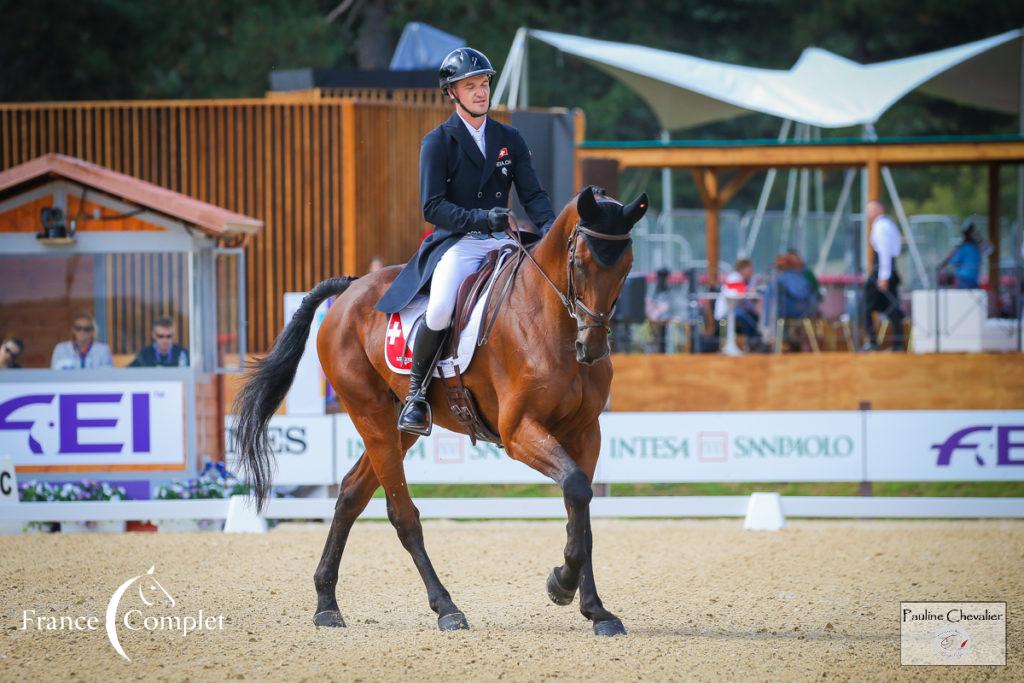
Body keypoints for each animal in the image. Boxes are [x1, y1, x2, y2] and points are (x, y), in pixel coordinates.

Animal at [234, 185, 647, 634]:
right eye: (580, 262)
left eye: (626, 267)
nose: (592, 348)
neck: (549, 320)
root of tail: (351, 290)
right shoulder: (519, 431)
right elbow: (574, 488)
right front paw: (561, 584)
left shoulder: (585, 433)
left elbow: (581, 509)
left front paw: (596, 610)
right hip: (370, 415)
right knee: (402, 514)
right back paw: (446, 607)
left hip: (399, 428)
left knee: (351, 493)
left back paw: (326, 603)